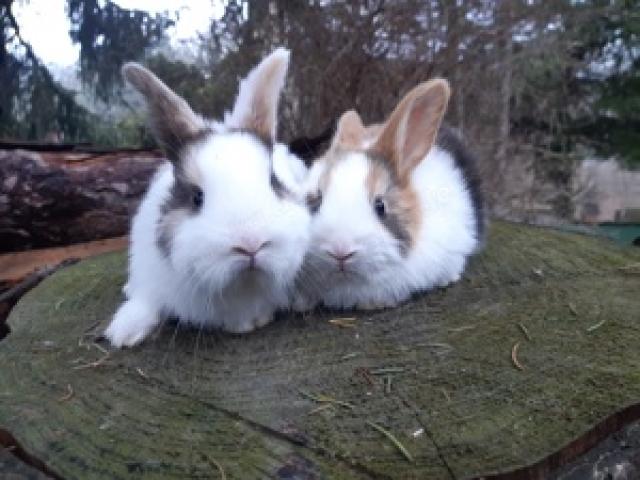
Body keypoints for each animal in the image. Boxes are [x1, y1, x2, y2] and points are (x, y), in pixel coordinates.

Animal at [104, 48, 310, 346]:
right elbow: (146, 301)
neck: (244, 291)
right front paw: (124, 333)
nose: (251, 244)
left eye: (274, 182)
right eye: (196, 197)